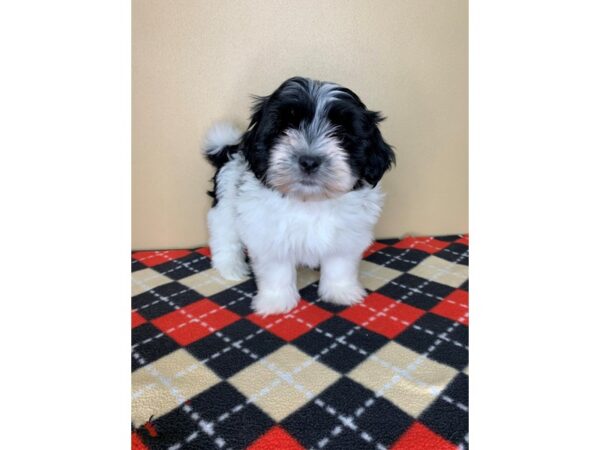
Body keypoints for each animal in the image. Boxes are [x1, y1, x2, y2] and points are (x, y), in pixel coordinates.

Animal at [204, 77, 396, 314]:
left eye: (341, 136)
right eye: (285, 128)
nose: (309, 161)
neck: (309, 201)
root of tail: (229, 149)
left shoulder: (346, 236)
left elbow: (339, 265)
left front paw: (340, 292)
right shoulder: (269, 234)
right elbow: (277, 270)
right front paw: (277, 302)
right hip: (225, 205)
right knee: (225, 236)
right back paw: (230, 267)